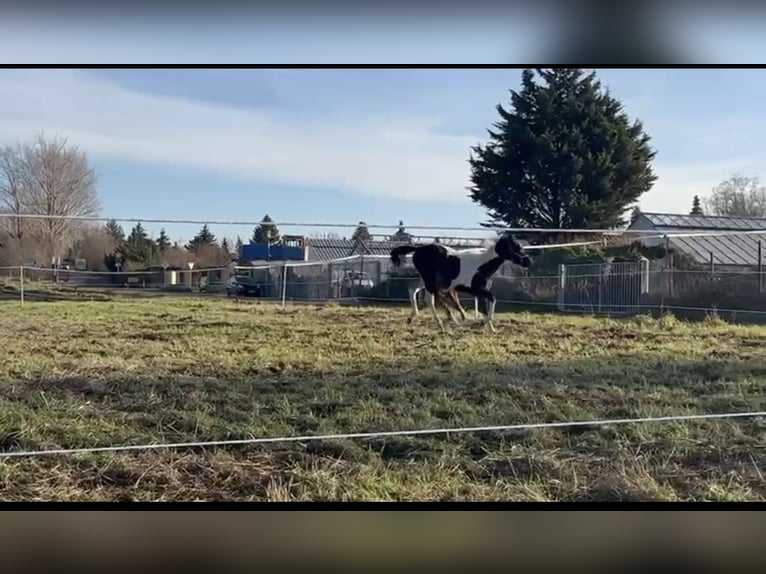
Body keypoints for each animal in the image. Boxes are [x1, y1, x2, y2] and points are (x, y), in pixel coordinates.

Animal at [390, 234, 536, 332]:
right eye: (515, 247)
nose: (528, 261)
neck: (482, 267)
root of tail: (418, 249)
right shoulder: (477, 289)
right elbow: (492, 300)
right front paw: (483, 324)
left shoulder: (480, 292)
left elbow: (485, 308)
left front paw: (489, 327)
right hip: (430, 281)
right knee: (430, 299)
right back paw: (441, 323)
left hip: (427, 281)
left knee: (413, 290)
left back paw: (412, 318)